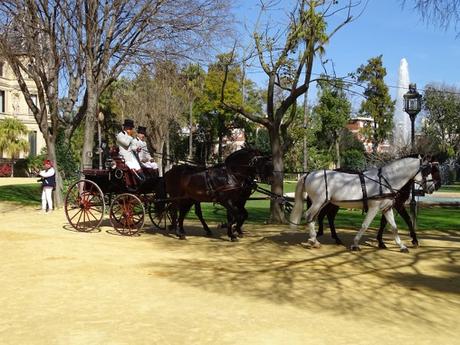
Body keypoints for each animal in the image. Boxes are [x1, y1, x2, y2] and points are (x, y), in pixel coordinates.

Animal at [292, 157, 438, 253]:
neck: (385, 180)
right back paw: (314, 240)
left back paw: (318, 239)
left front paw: (402, 246)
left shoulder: (387, 208)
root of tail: (308, 174)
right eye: (427, 171)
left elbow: (394, 227)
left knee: (316, 217)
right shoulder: (374, 207)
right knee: (309, 215)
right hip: (319, 202)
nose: (432, 188)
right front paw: (355, 244)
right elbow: (365, 225)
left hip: (324, 203)